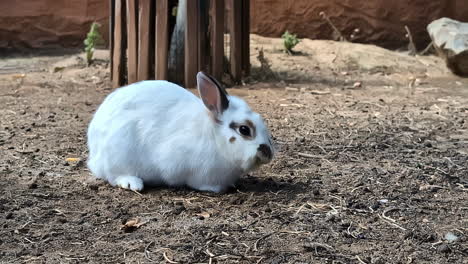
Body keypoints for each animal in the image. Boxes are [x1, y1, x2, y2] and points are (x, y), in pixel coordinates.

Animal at [87, 71, 274, 193]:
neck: (214, 136)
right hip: (119, 153)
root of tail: (94, 152)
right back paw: (132, 183)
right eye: (244, 129)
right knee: (113, 175)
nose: (269, 153)